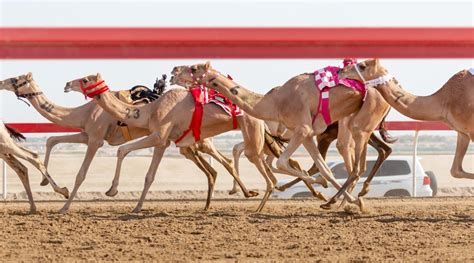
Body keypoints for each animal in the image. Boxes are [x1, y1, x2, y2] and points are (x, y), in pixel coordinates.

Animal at [0, 73, 256, 214]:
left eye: (16, 79)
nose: (66, 84)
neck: (83, 113)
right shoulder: (87, 134)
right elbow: (52, 139)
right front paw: (50, 185)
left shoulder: (95, 139)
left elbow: (81, 174)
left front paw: (64, 205)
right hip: (189, 145)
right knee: (213, 167)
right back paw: (225, 198)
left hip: (200, 142)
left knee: (224, 160)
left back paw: (246, 192)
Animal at [65, 73, 324, 213]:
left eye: (85, 79)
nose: (67, 84)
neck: (152, 109)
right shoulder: (167, 140)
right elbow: (148, 173)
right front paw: (135, 205)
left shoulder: (159, 135)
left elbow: (123, 151)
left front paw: (113, 191)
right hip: (259, 136)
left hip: (253, 135)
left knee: (268, 171)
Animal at [338, 58, 474, 180]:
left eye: (363, 66)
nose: (341, 71)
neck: (445, 101)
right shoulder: (463, 132)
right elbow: (456, 171)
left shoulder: (471, 130)